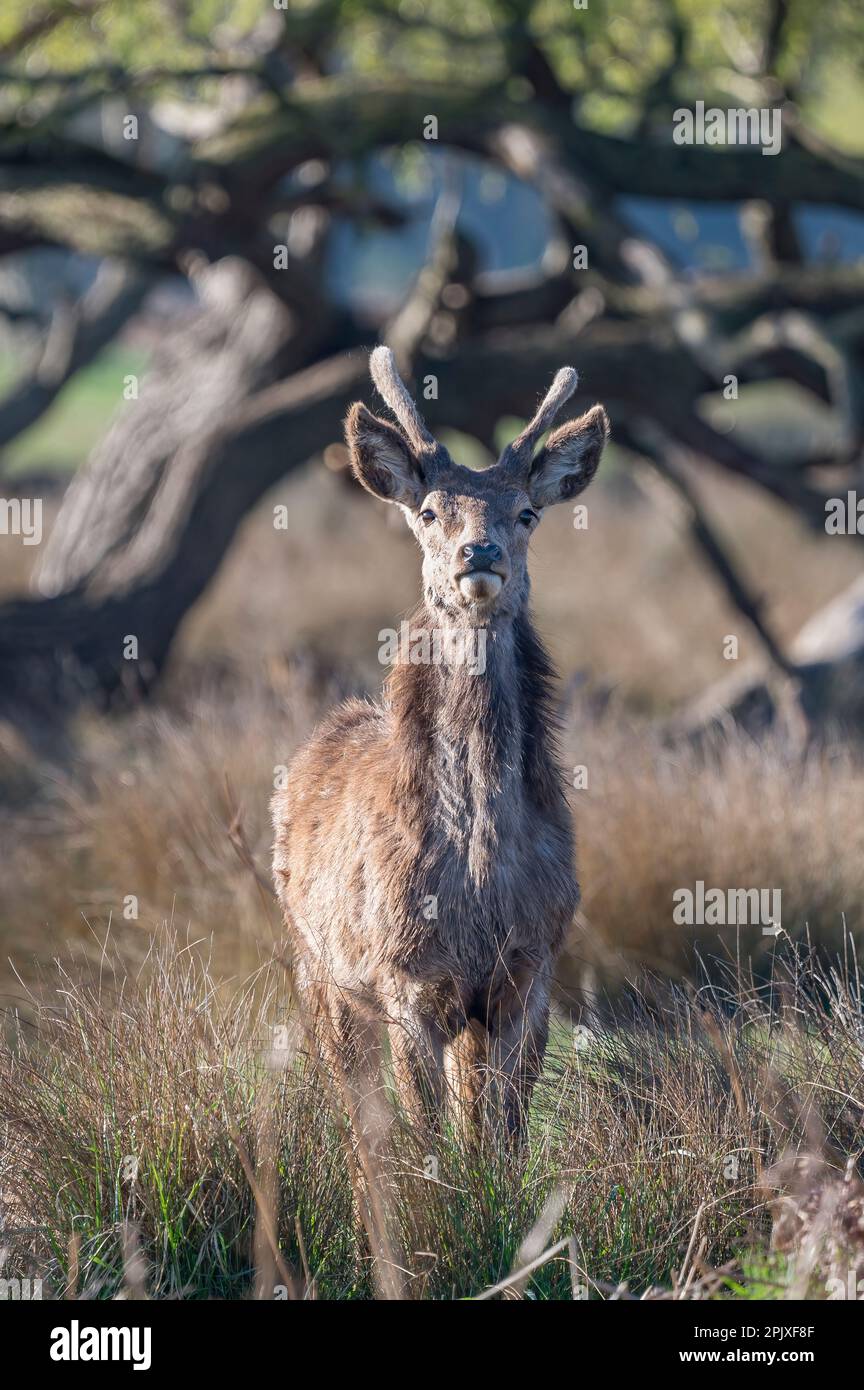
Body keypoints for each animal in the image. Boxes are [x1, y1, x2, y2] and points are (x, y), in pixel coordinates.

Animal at [273, 347, 613, 1139]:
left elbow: (500, 1135)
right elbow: (425, 1135)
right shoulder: (405, 976)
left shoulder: (530, 970)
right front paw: (436, 1179)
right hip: (316, 965)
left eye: (526, 513)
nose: (477, 551)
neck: (480, 877)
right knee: (358, 1118)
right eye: (429, 511)